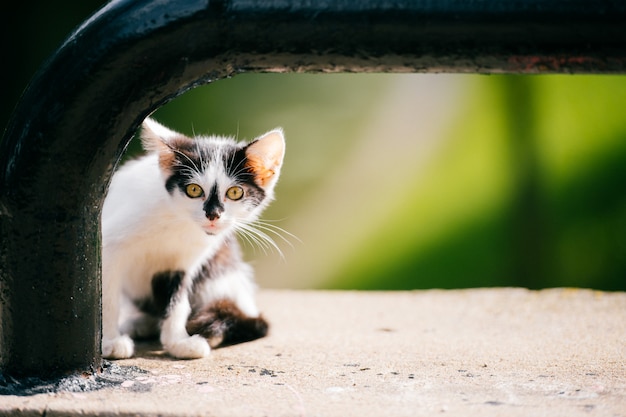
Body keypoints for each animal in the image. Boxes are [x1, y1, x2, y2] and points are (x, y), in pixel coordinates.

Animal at [102, 117, 286, 358]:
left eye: (235, 192)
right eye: (194, 190)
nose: (213, 215)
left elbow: (177, 300)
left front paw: (178, 342)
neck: (178, 221)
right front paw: (110, 341)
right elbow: (107, 297)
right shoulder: (108, 246)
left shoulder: (181, 264)